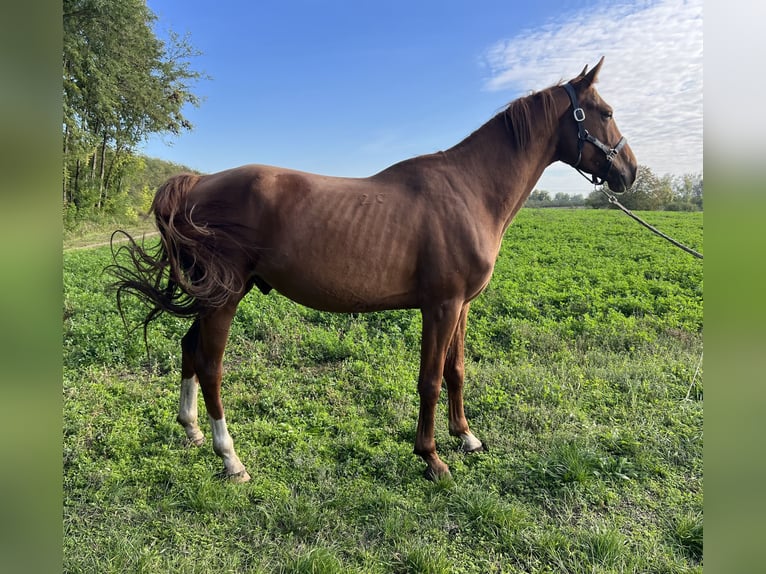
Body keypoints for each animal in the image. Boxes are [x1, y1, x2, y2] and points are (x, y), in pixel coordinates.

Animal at [108, 58, 636, 484]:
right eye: (606, 113)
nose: (629, 172)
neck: (469, 189)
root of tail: (198, 183)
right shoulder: (440, 307)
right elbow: (430, 379)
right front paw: (432, 458)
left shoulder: (461, 307)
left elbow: (456, 370)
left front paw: (466, 438)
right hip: (226, 298)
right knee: (211, 365)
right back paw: (230, 459)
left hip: (209, 295)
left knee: (189, 349)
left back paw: (192, 430)